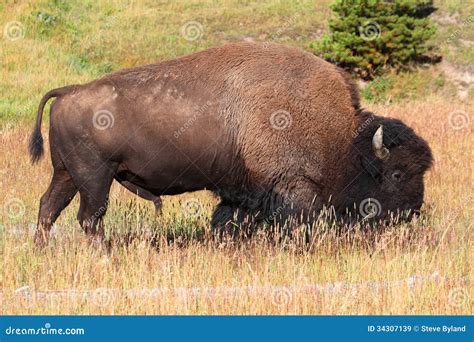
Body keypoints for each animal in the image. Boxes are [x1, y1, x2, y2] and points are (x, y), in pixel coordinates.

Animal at [27, 42, 432, 244]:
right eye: (397, 174)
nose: (413, 211)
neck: (343, 139)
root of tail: (69, 92)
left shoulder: (242, 192)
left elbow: (229, 221)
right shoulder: (294, 189)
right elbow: (295, 225)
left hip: (67, 174)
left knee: (49, 208)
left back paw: (43, 251)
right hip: (96, 177)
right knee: (89, 218)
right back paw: (105, 255)